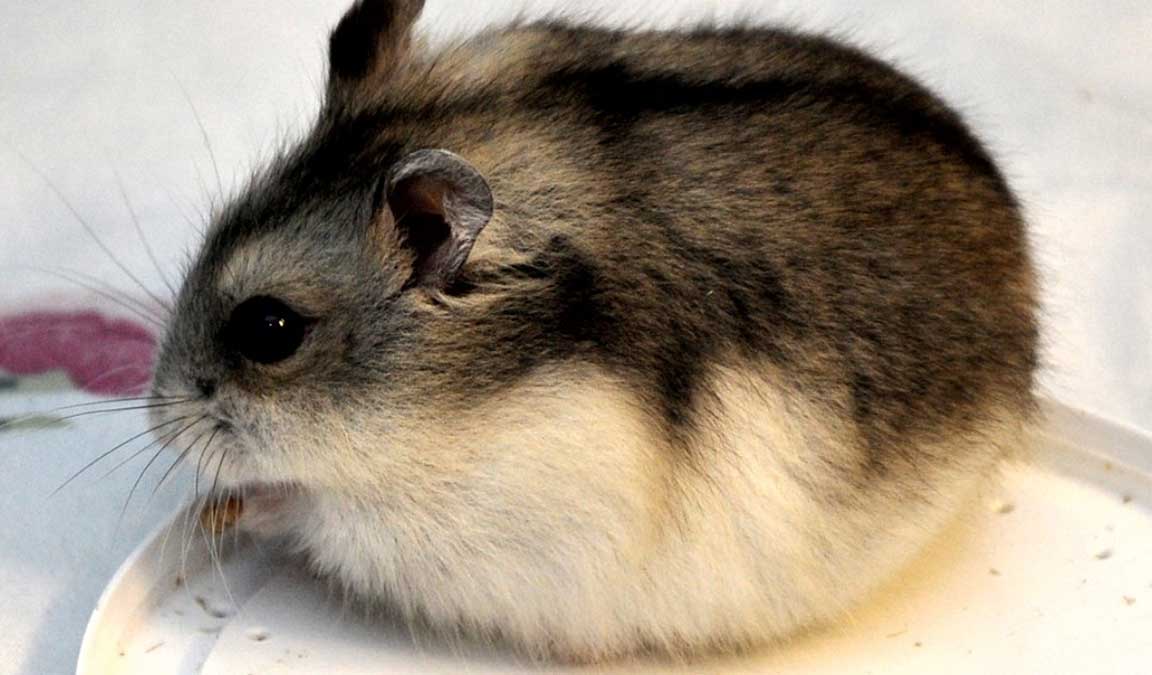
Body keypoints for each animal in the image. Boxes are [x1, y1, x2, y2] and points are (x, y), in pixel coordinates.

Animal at [150, 0, 1037, 662]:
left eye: (269, 329)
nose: (159, 419)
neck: (431, 413)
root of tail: (1019, 255)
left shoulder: (430, 526)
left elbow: (307, 506)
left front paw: (225, 507)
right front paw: (209, 512)